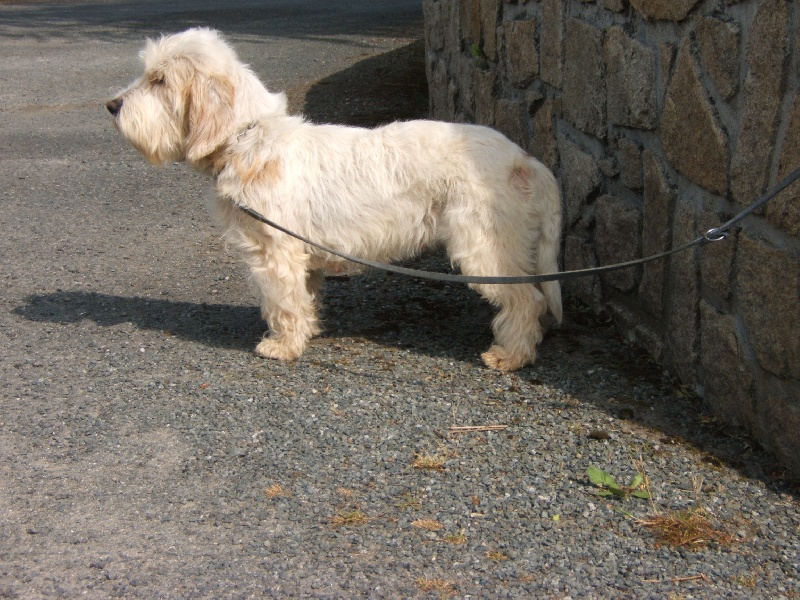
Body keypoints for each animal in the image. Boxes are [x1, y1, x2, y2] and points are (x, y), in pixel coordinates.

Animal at [106, 28, 562, 370]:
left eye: (160, 80)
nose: (112, 105)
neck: (248, 137)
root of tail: (524, 159)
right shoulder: (300, 254)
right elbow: (304, 296)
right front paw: (306, 332)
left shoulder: (274, 251)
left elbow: (282, 300)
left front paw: (282, 346)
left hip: (484, 248)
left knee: (529, 300)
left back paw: (511, 355)